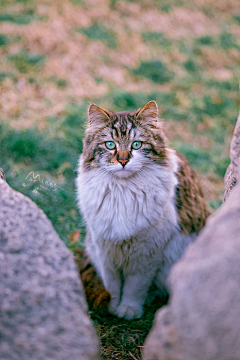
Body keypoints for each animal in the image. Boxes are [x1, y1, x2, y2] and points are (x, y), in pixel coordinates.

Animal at [76, 100, 209, 320]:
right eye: (110, 145)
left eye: (136, 144)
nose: (123, 161)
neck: (123, 192)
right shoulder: (105, 251)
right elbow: (112, 286)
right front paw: (113, 307)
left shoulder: (147, 253)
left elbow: (135, 286)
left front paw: (128, 309)